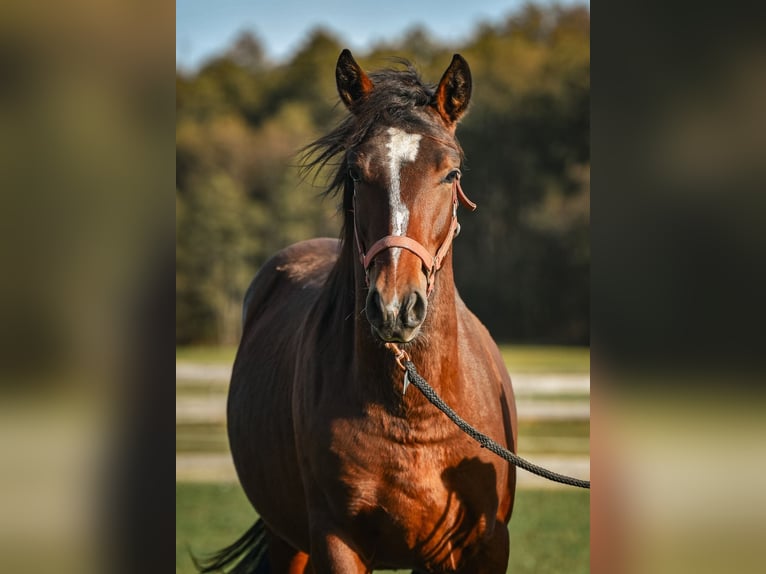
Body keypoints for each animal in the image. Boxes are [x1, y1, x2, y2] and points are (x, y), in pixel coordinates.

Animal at [201, 50, 520, 574]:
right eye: (355, 172)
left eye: (451, 174)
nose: (395, 306)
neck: (413, 415)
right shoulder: (336, 539)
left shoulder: (482, 545)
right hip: (287, 539)